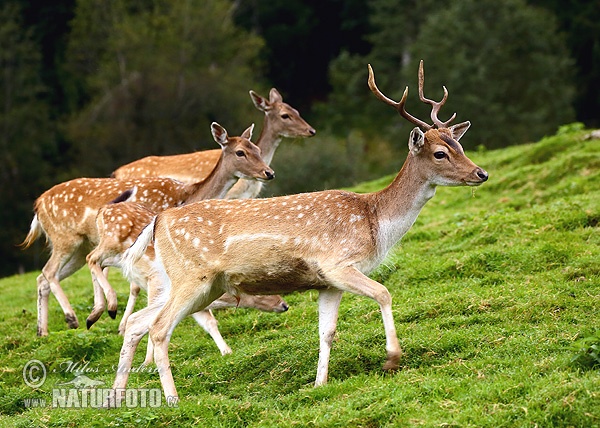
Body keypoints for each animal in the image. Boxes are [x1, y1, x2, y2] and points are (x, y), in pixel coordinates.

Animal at [21, 122, 274, 336]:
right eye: (240, 152)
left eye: (257, 148)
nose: (269, 172)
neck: (186, 196)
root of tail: (37, 206)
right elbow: (137, 284)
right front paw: (123, 324)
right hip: (65, 238)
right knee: (50, 272)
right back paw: (73, 317)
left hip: (79, 246)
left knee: (45, 276)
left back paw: (46, 330)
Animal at [85, 192, 290, 360]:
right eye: (262, 288)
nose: (285, 305)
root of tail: (103, 209)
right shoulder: (158, 284)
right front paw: (147, 362)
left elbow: (209, 322)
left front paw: (226, 351)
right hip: (110, 242)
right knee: (91, 258)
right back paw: (106, 309)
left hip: (115, 255)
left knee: (101, 263)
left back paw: (98, 314)